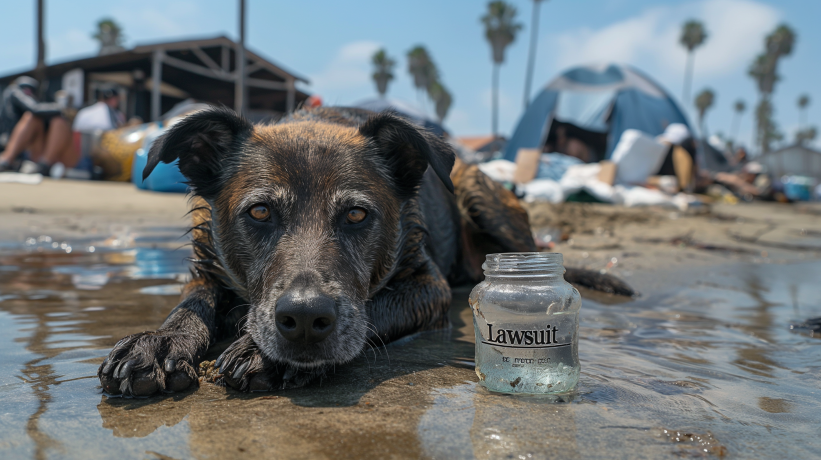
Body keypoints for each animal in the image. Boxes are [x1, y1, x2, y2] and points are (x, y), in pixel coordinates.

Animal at [97, 105, 636, 396]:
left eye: (357, 215)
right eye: (260, 212)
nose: (304, 320)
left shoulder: (428, 286)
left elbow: (376, 307)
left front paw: (261, 353)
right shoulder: (206, 271)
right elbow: (191, 305)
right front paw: (160, 341)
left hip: (485, 203)